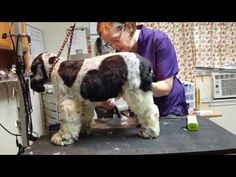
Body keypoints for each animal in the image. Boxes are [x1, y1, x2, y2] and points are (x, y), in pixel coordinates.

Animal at [29, 51, 159, 146]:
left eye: (32, 69)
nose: (30, 80)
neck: (54, 65)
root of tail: (146, 63)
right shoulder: (83, 103)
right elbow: (83, 118)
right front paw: (83, 130)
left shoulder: (67, 103)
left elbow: (67, 122)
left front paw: (62, 138)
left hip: (136, 93)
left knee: (151, 111)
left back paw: (150, 132)